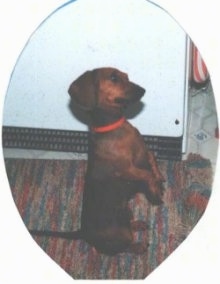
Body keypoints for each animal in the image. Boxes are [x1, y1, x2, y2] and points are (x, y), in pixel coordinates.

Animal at [30, 67, 165, 255]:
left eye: (126, 77)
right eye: (114, 78)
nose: (143, 90)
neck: (115, 126)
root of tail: (83, 232)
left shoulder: (145, 153)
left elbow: (152, 158)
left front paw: (159, 180)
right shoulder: (127, 169)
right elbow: (146, 174)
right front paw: (154, 190)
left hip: (126, 212)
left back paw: (137, 224)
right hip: (121, 233)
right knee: (123, 246)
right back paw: (138, 245)